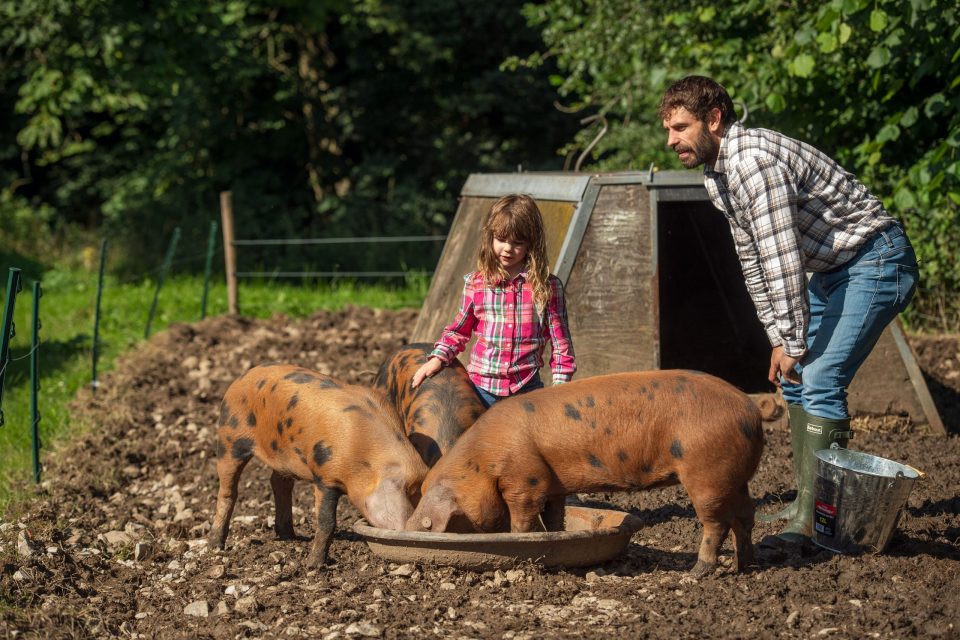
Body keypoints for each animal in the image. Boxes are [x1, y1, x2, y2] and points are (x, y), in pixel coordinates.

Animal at [209, 362, 428, 568]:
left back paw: (289, 536)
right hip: (229, 439)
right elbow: (326, 521)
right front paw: (313, 565)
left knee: (279, 484)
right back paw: (215, 545)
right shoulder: (325, 475)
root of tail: (241, 378)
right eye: (411, 494)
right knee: (227, 492)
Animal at [404, 370, 764, 576]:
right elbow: (554, 518)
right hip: (736, 480)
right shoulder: (552, 486)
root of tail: (752, 413)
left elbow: (523, 518)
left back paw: (696, 573)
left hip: (706, 474)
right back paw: (744, 564)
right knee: (746, 517)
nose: (408, 527)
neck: (482, 459)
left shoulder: (525, 480)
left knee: (716, 523)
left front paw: (517, 538)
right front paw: (553, 536)